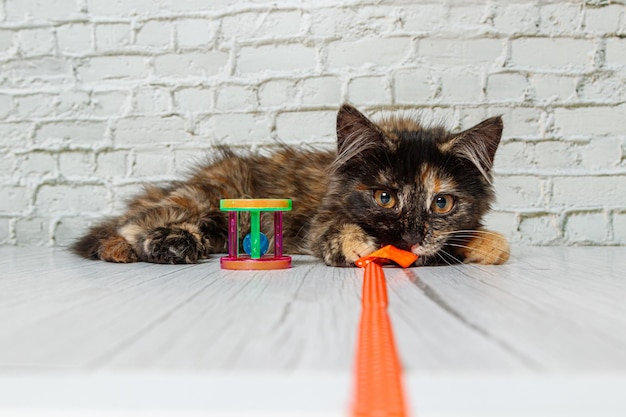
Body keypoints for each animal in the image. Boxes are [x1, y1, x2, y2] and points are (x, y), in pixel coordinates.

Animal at [73, 104, 510, 266]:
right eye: (384, 197)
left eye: (442, 203)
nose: (410, 238)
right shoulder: (322, 221)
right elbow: (339, 233)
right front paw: (358, 246)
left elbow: (487, 242)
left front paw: (486, 244)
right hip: (207, 195)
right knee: (131, 225)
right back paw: (169, 244)